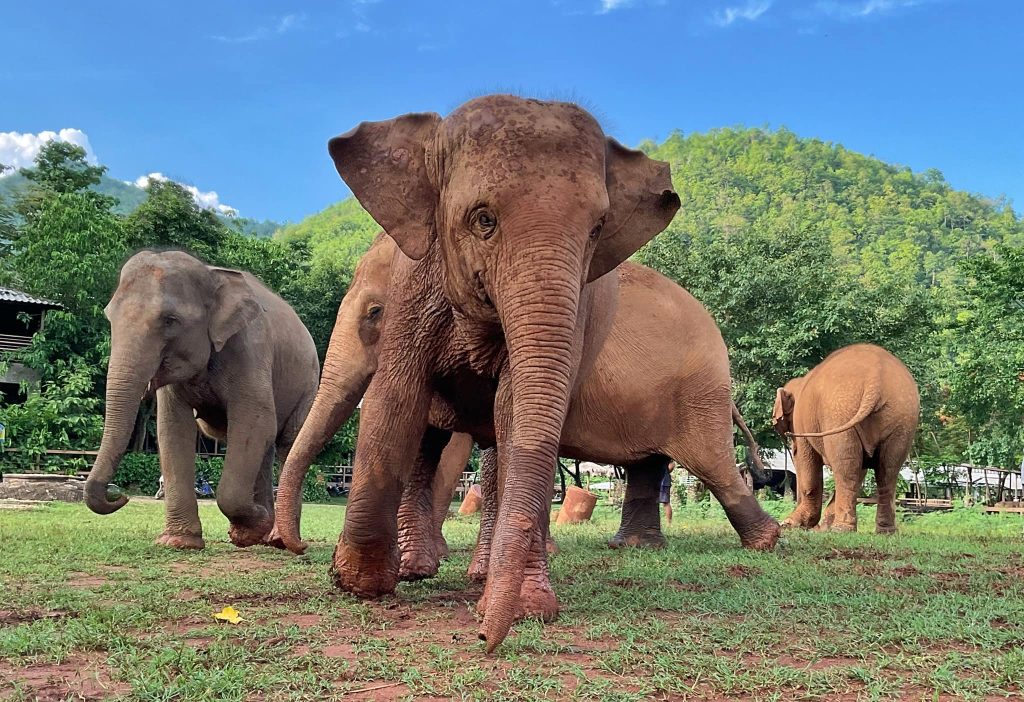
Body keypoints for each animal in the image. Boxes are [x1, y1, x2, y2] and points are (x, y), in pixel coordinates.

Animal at [84, 250, 319, 552]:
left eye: (170, 320)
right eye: (108, 316)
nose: (119, 494)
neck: (212, 274)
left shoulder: (249, 348)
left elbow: (255, 421)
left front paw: (249, 529)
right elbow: (172, 429)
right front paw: (179, 542)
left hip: (309, 384)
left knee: (289, 444)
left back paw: (278, 539)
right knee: (266, 449)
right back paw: (266, 534)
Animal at [770, 343, 925, 536]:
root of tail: (876, 379)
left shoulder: (802, 424)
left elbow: (807, 462)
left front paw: (791, 524)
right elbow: (862, 469)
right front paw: (820, 528)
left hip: (839, 413)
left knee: (847, 468)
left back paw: (840, 530)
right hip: (902, 417)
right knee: (887, 469)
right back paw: (885, 532)